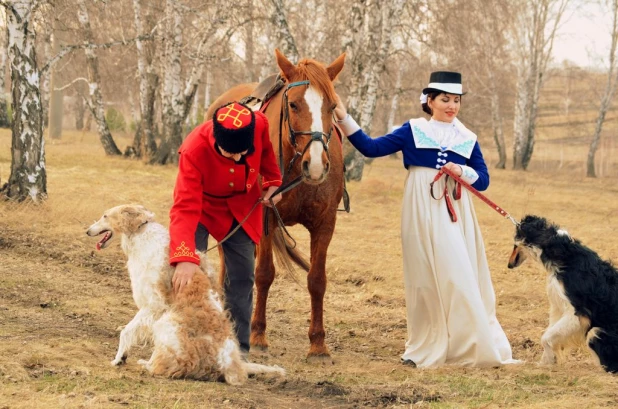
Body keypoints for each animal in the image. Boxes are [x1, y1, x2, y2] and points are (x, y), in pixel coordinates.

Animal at [85, 204, 286, 382]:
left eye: (105, 216)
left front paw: (118, 358)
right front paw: (123, 357)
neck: (142, 234)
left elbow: (126, 332)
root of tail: (229, 365)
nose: (87, 231)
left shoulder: (153, 305)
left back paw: (147, 365)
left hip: (166, 323)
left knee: (172, 365)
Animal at [206, 49, 342, 358]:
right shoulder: (265, 218)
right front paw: (258, 335)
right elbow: (264, 274)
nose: (317, 165)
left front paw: (318, 343)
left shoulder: (325, 223)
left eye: (332, 106)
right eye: (293, 104)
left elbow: (317, 280)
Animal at [506, 215, 616, 372]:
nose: (509, 265)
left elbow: (546, 337)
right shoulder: (557, 306)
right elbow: (548, 335)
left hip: (596, 331)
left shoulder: (577, 313)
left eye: (515, 245)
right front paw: (545, 363)